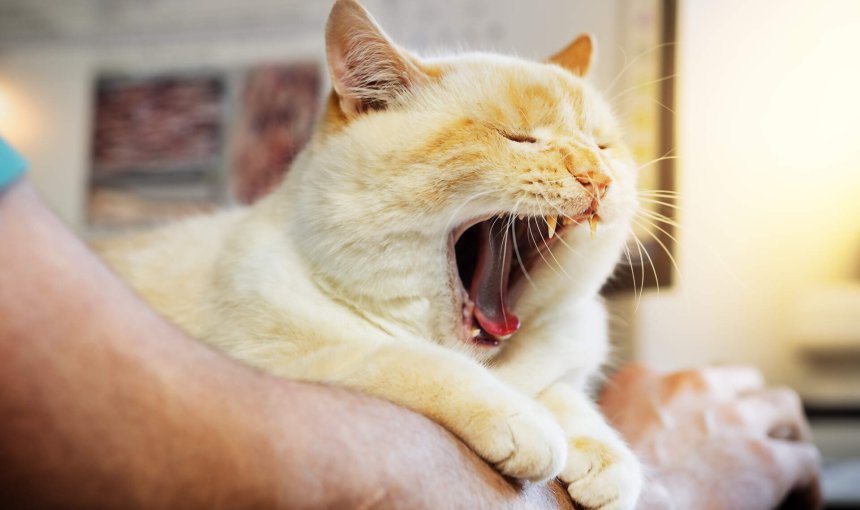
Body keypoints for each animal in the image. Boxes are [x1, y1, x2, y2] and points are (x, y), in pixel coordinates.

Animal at [97, 1, 640, 508]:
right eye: (518, 138)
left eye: (601, 146)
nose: (597, 178)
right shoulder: (284, 359)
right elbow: (409, 361)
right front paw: (524, 420)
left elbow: (564, 393)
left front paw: (605, 456)